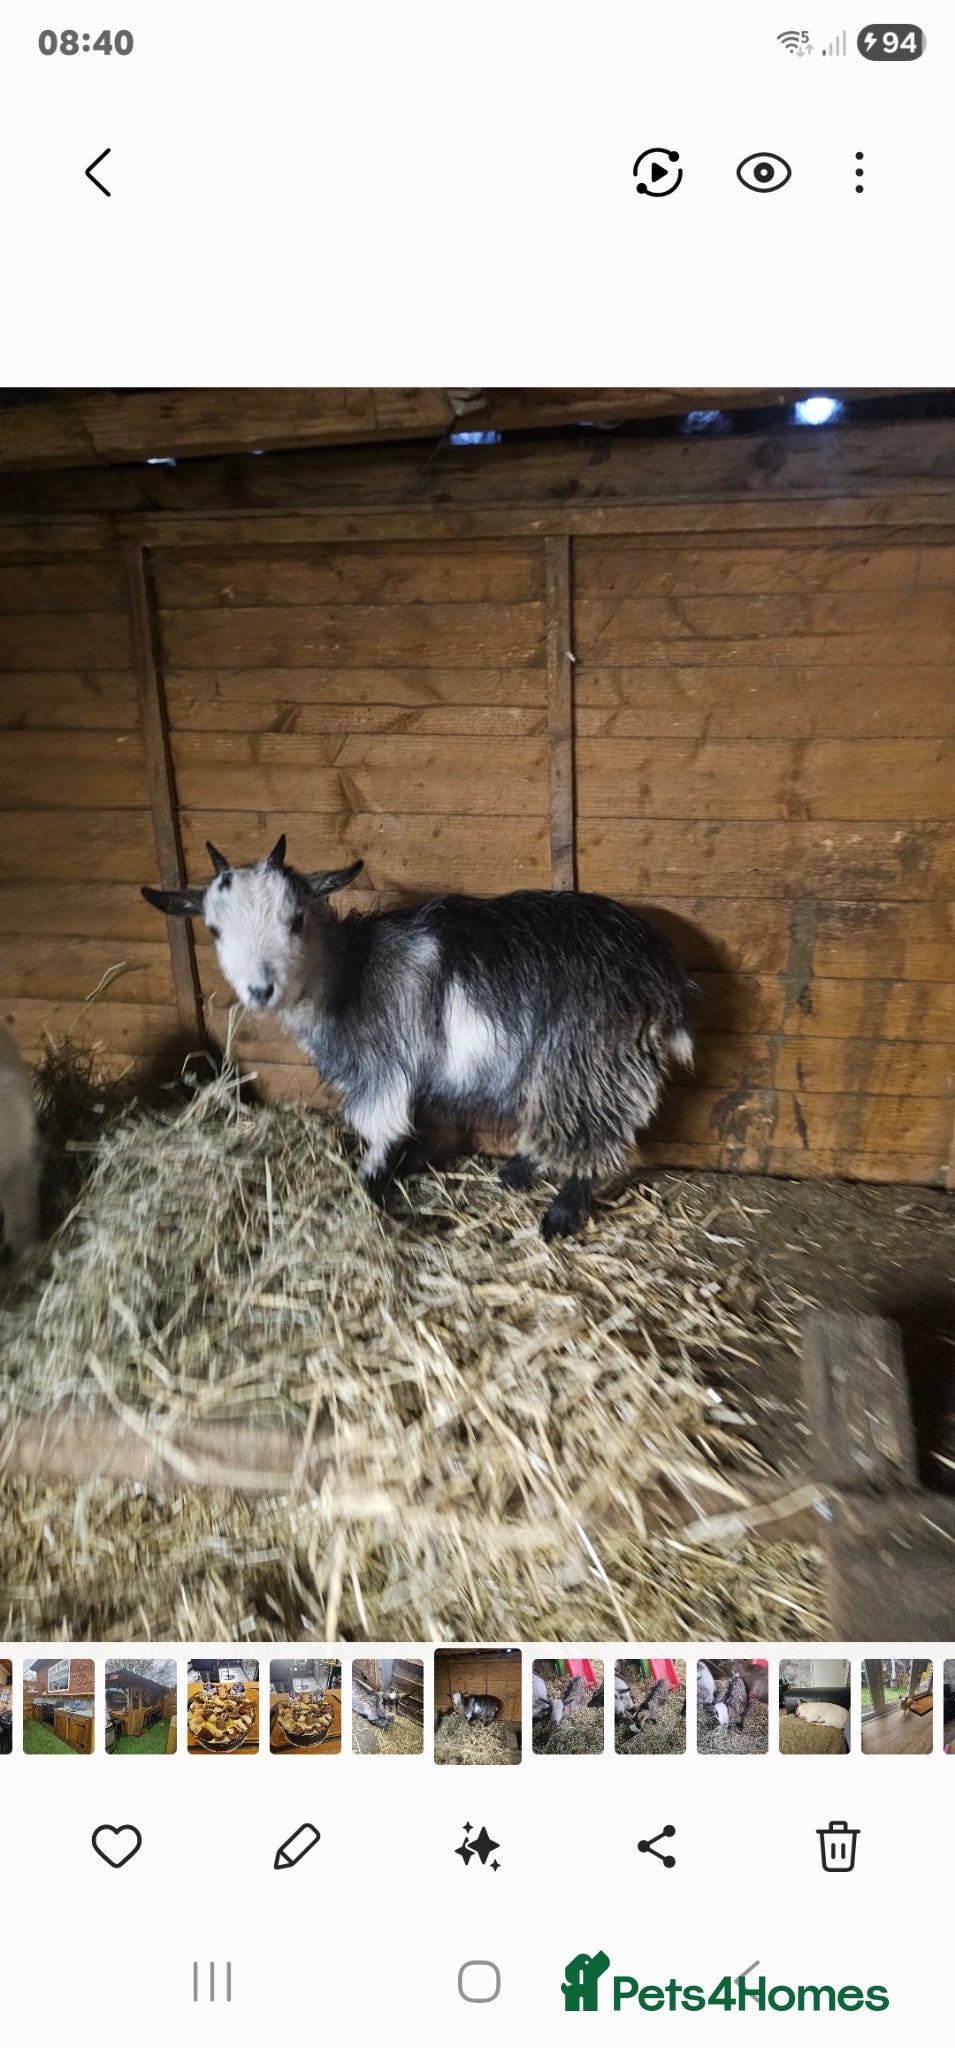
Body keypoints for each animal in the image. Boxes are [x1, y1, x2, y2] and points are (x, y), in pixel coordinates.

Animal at [143, 836, 693, 1239]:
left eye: (295, 919)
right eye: (213, 929)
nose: (260, 989)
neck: (348, 975)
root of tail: (663, 971)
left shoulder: (382, 1071)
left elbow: (380, 1127)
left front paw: (367, 1185)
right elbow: (418, 1122)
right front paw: (409, 1164)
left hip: (588, 1057)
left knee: (591, 1131)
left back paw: (560, 1213)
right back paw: (519, 1171)